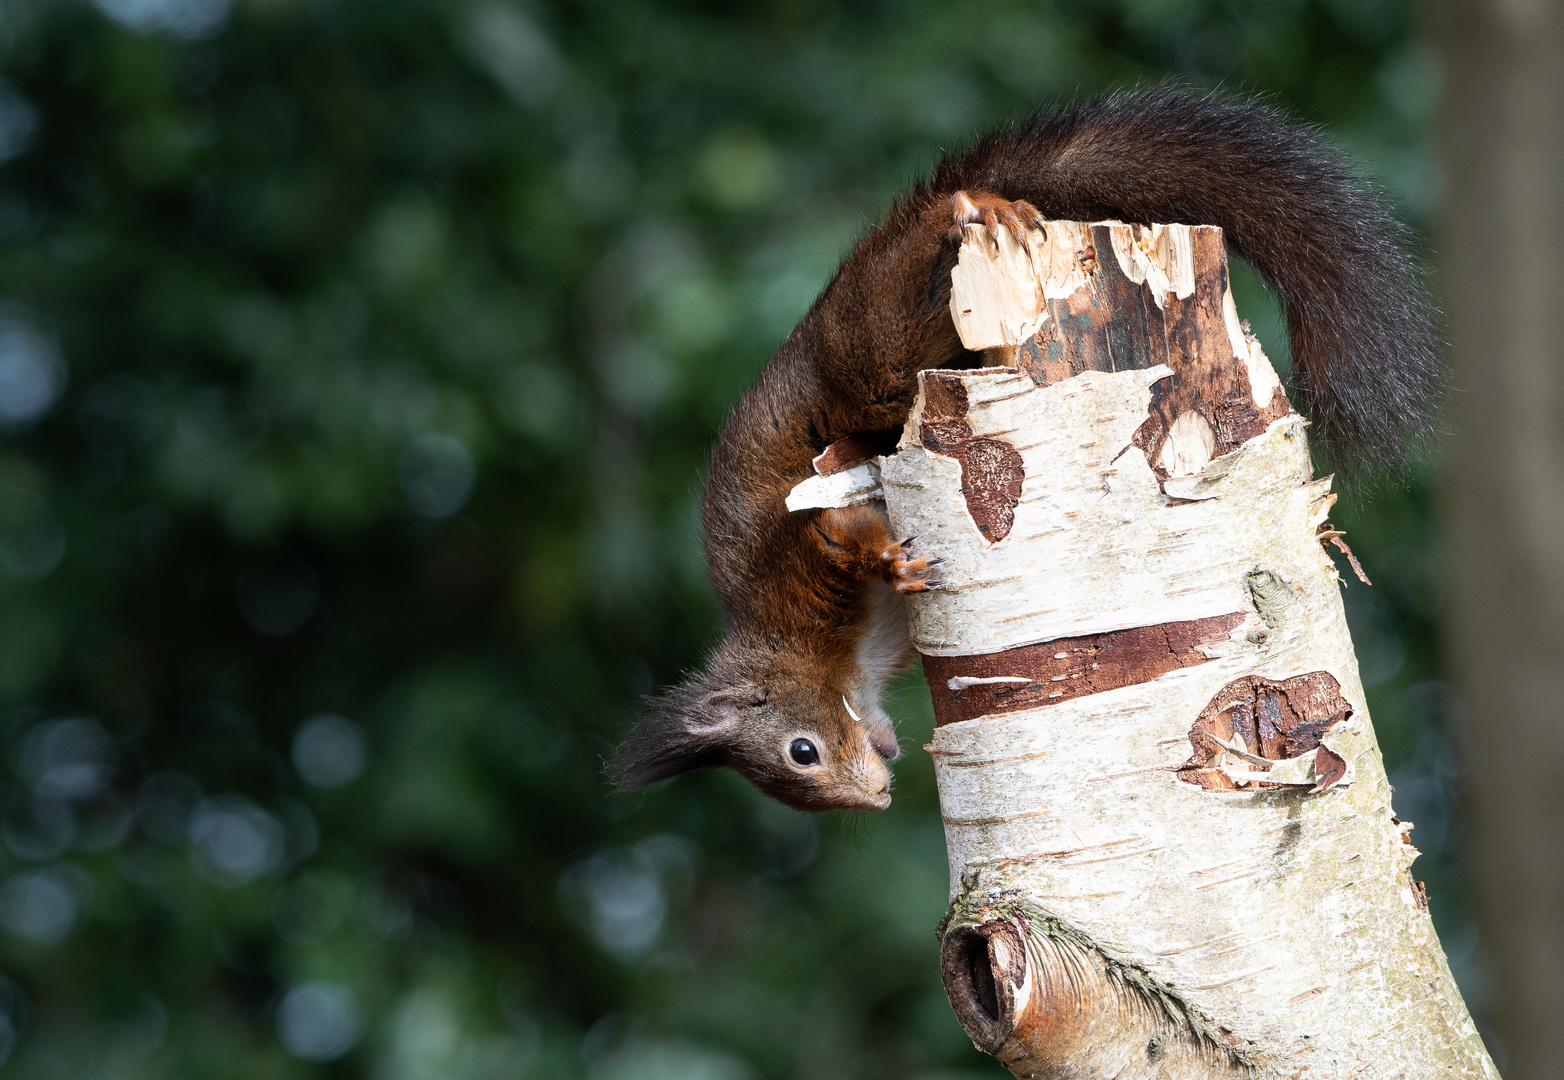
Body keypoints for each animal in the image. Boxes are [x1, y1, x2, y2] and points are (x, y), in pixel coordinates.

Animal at [606, 88, 1432, 812]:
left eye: (801, 751)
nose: (876, 797)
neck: (815, 661)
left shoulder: (800, 569)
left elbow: (837, 534)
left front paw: (892, 563)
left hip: (868, 355)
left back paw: (974, 207)